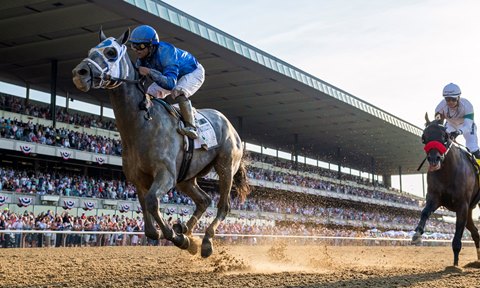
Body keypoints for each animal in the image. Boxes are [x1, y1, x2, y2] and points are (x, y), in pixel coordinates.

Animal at [73, 29, 251, 258]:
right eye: (91, 51)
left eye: (111, 52)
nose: (79, 73)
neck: (143, 123)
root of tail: (231, 127)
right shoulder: (139, 180)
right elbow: (147, 217)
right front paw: (181, 237)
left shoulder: (166, 174)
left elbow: (151, 202)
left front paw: (179, 239)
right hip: (186, 178)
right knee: (204, 200)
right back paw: (187, 231)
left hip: (225, 167)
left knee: (223, 205)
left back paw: (205, 242)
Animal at [412, 113, 480, 266]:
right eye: (424, 137)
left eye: (445, 136)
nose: (434, 159)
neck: (448, 173)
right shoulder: (435, 198)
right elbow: (425, 212)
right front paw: (417, 233)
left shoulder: (462, 205)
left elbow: (458, 234)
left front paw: (455, 265)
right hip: (470, 211)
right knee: (475, 232)